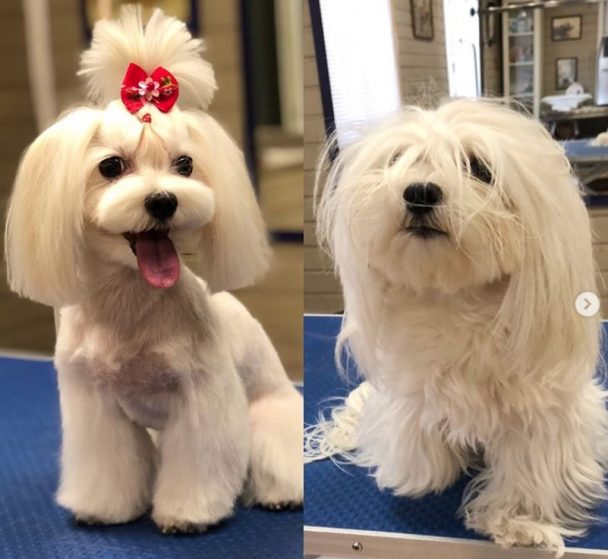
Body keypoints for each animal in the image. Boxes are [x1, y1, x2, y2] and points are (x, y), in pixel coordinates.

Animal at [2, 7, 302, 532]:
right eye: (110, 166)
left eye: (184, 164)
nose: (163, 200)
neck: (129, 304)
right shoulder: (95, 404)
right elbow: (108, 464)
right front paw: (103, 508)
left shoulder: (203, 399)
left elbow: (198, 465)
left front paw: (187, 514)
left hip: (267, 418)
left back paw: (279, 494)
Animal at [308, 99, 608, 556]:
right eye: (398, 161)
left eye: (480, 169)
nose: (419, 192)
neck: (456, 300)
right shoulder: (413, 398)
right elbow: (419, 438)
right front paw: (418, 477)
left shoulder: (543, 415)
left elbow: (529, 466)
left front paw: (518, 522)